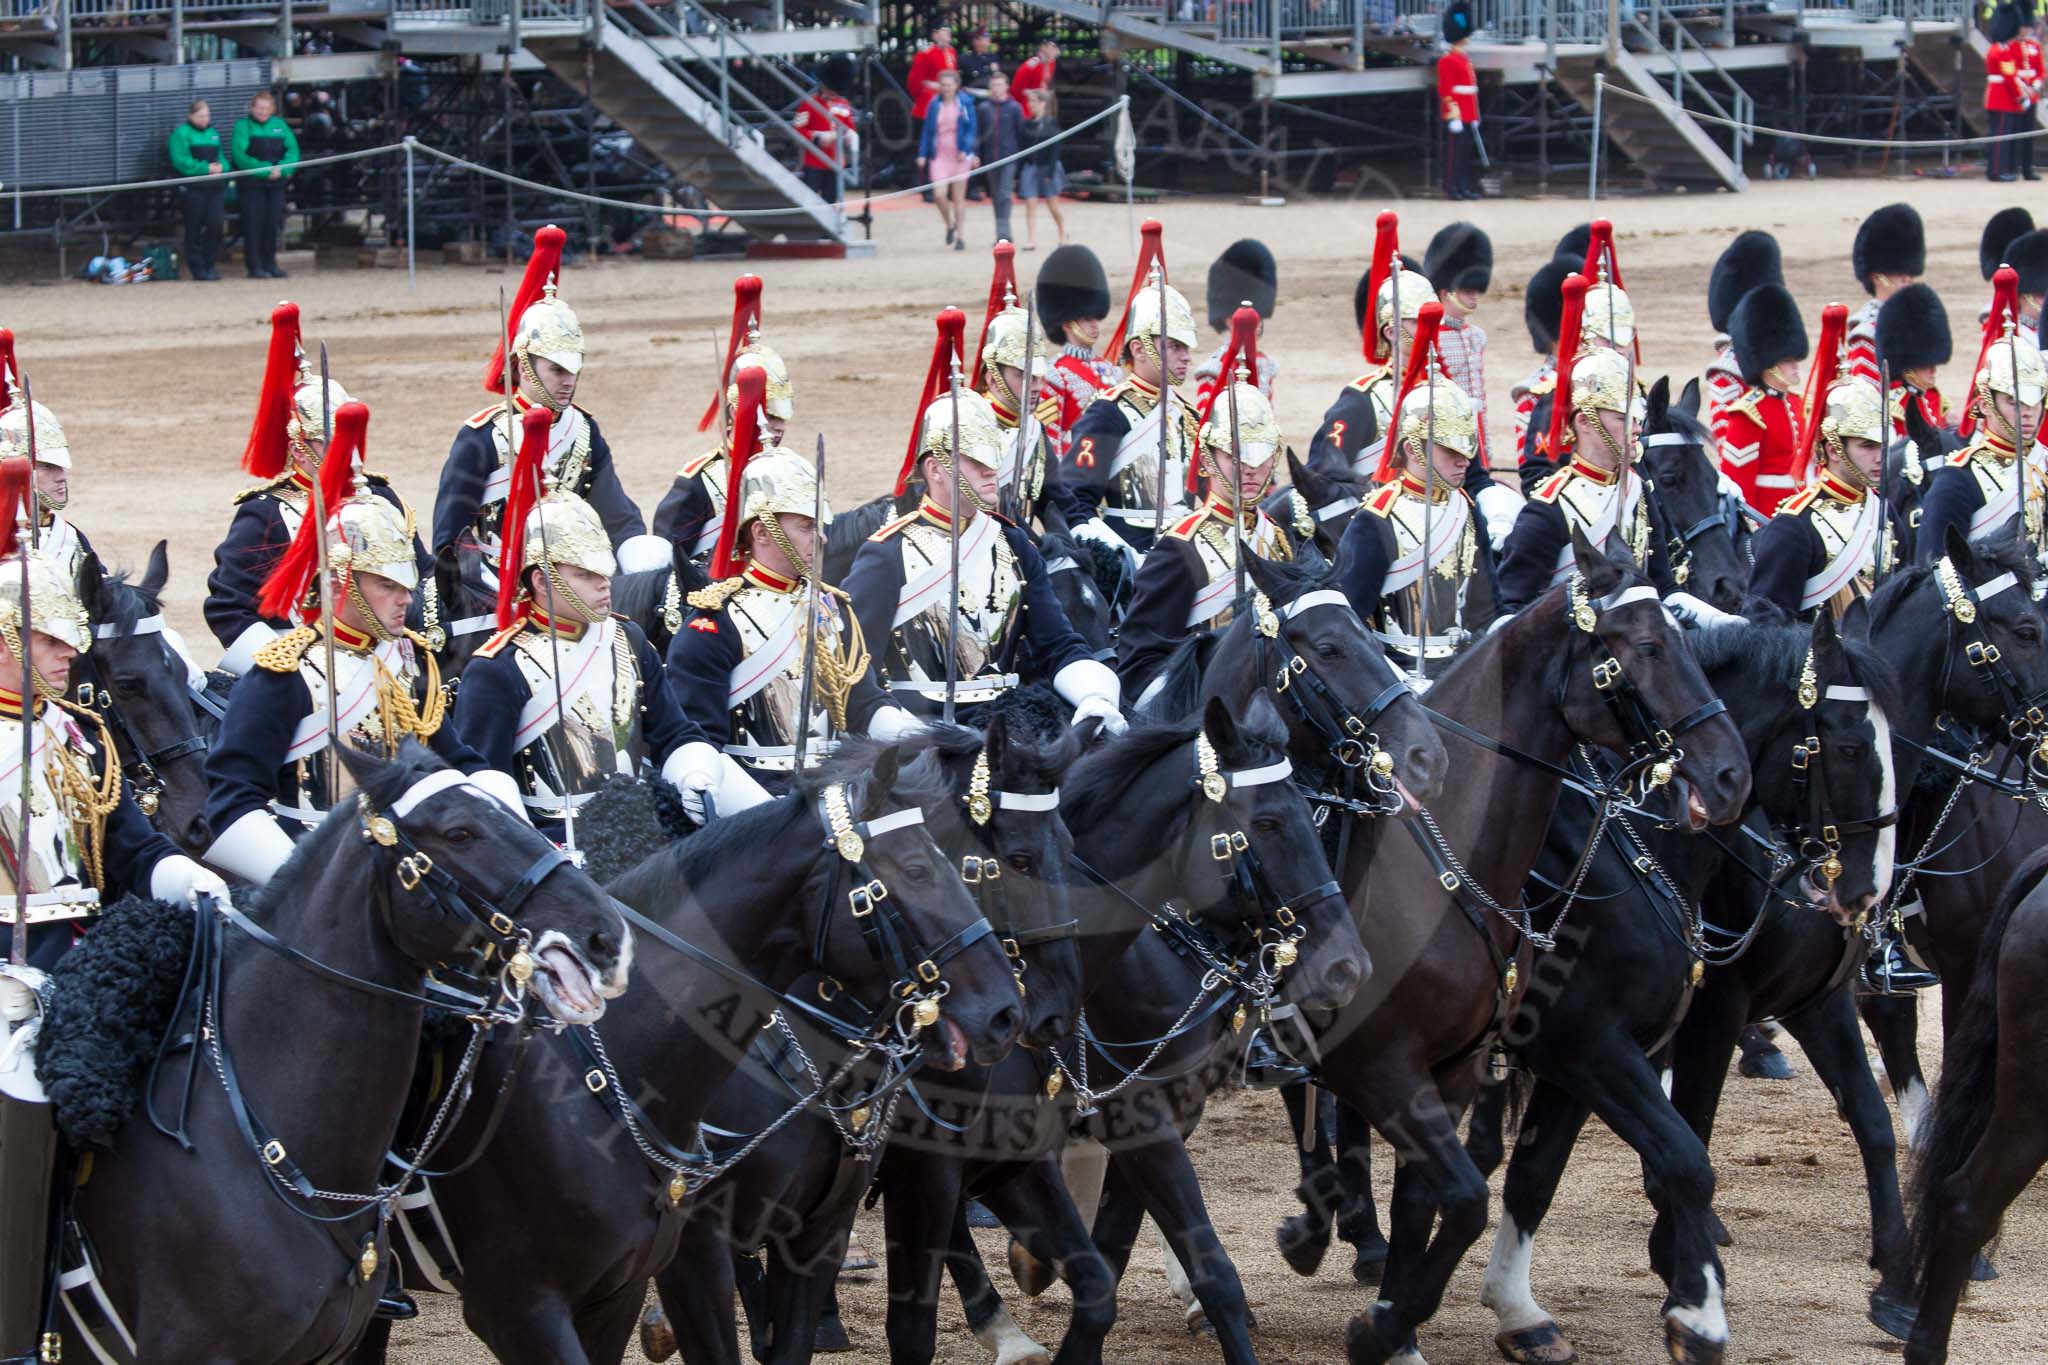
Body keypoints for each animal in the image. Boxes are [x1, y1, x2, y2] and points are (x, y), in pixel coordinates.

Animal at [1466, 609, 1892, 1365]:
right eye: (1847, 745)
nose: (1868, 889)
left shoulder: (1600, 1052)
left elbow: (1537, 1174)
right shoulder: (1602, 1038)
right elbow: (1688, 1150)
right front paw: (1693, 1297)